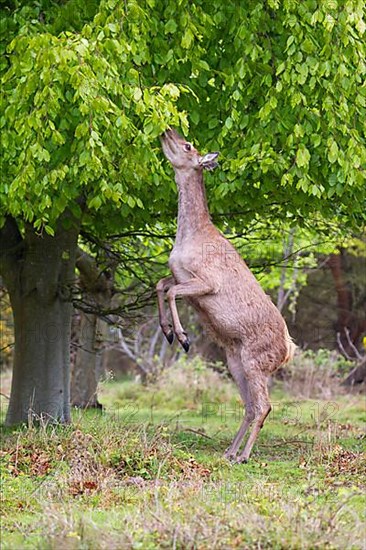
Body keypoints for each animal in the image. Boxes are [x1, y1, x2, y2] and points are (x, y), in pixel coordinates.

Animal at [156, 130, 296, 466]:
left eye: (188, 145)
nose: (166, 130)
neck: (190, 237)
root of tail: (288, 350)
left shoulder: (207, 282)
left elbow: (171, 291)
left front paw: (182, 336)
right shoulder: (179, 274)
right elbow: (160, 285)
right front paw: (167, 331)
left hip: (256, 360)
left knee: (264, 405)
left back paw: (243, 455)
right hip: (237, 361)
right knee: (249, 405)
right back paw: (229, 451)